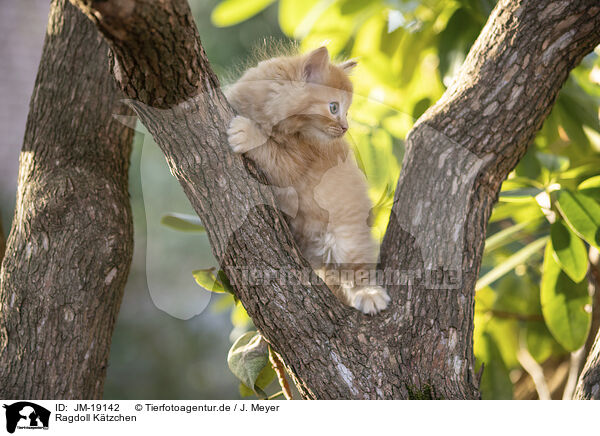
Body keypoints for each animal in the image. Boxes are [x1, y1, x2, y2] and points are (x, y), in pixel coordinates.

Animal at [224, 46, 390, 316]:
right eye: (334, 108)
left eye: (347, 112)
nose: (345, 127)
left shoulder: (294, 166)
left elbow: (270, 151)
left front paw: (246, 133)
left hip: (348, 238)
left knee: (358, 270)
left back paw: (369, 294)